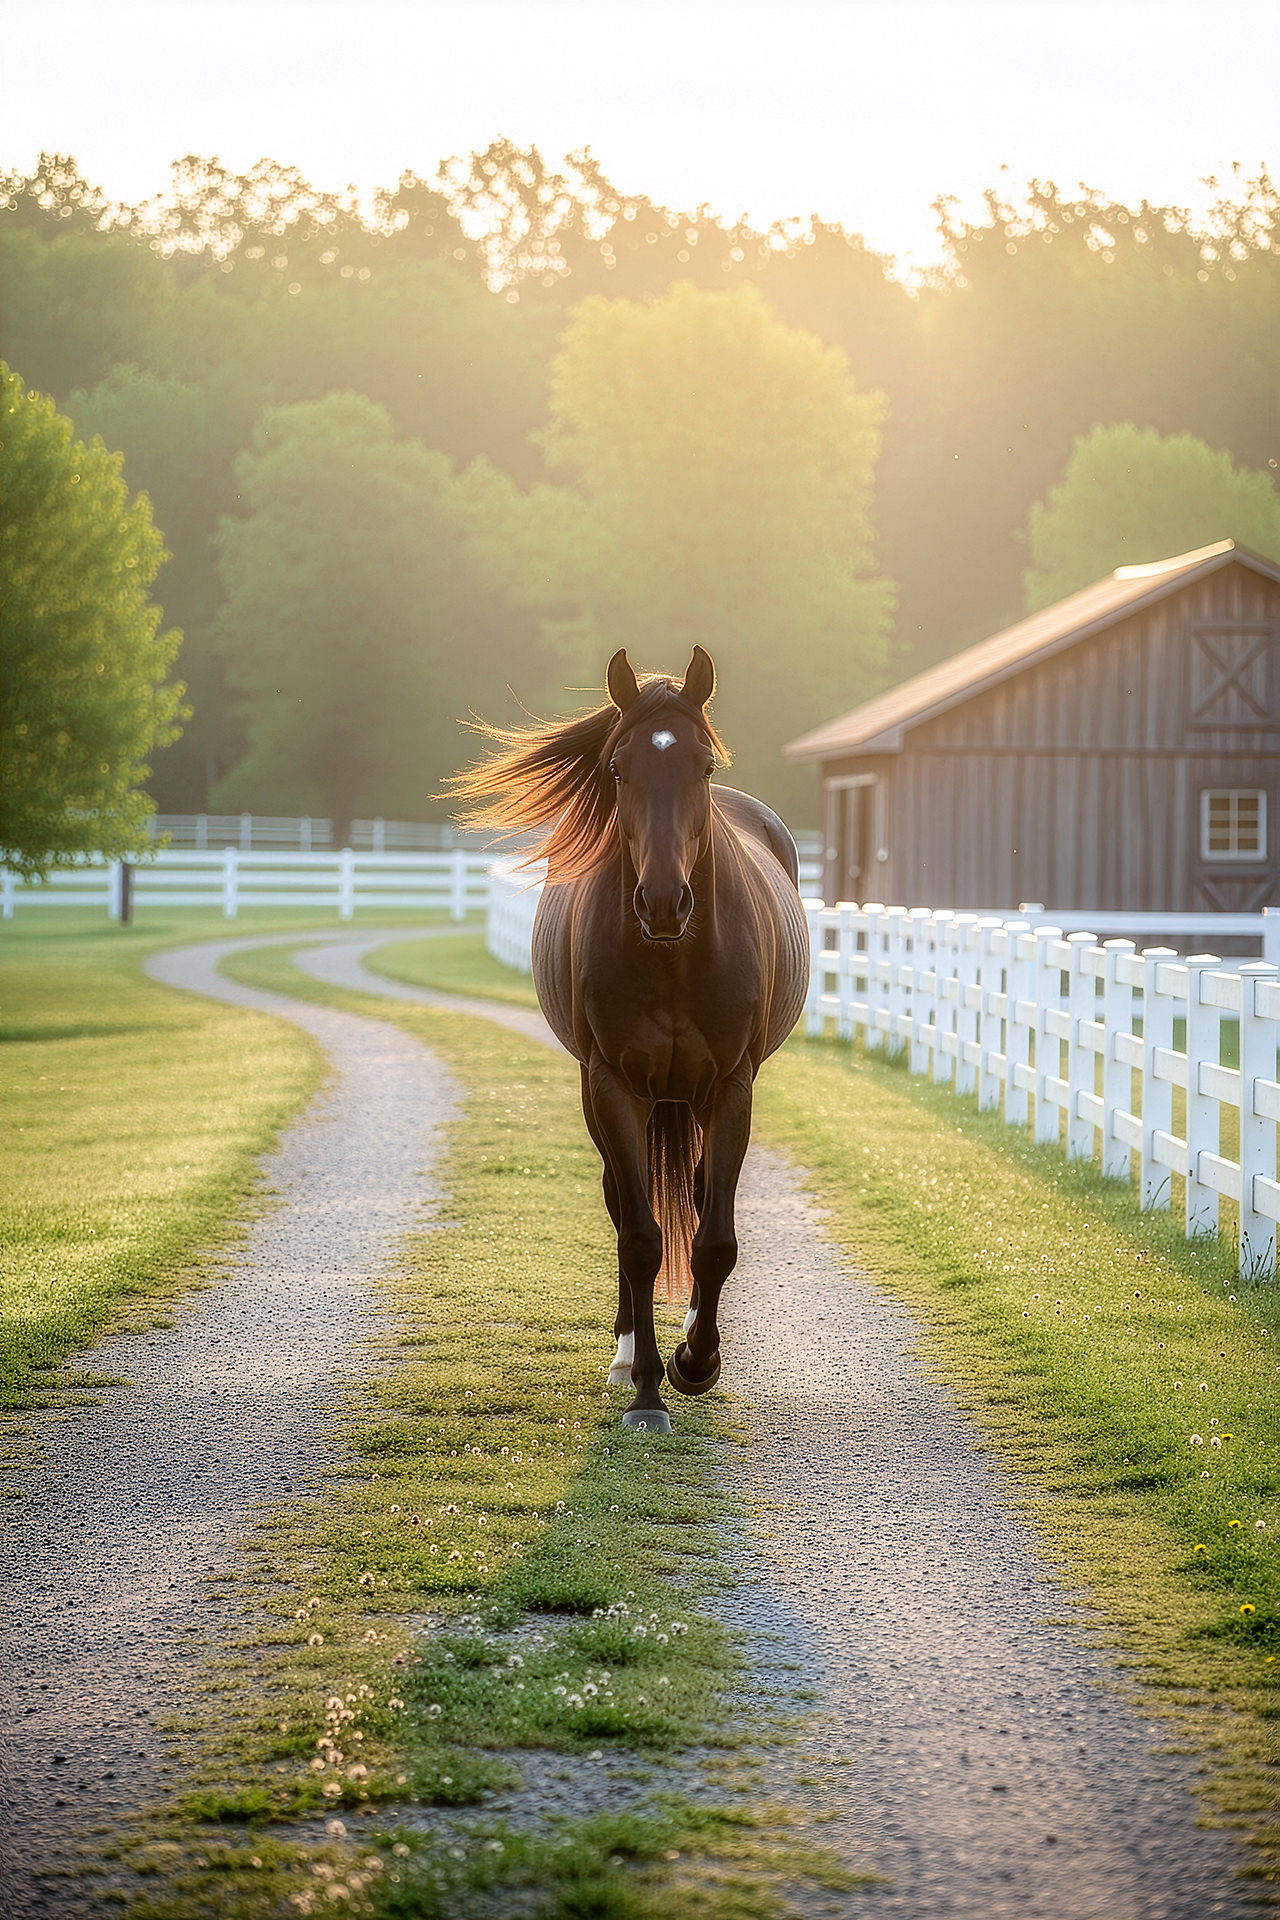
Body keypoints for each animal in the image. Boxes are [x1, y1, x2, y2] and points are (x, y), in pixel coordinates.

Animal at [451, 646, 810, 1432]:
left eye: (702, 766)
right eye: (619, 769)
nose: (664, 902)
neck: (672, 958)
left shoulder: (731, 1087)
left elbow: (714, 1238)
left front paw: (696, 1362)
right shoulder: (612, 1084)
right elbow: (642, 1238)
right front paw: (648, 1390)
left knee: (699, 1198)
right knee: (624, 1202)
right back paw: (625, 1357)